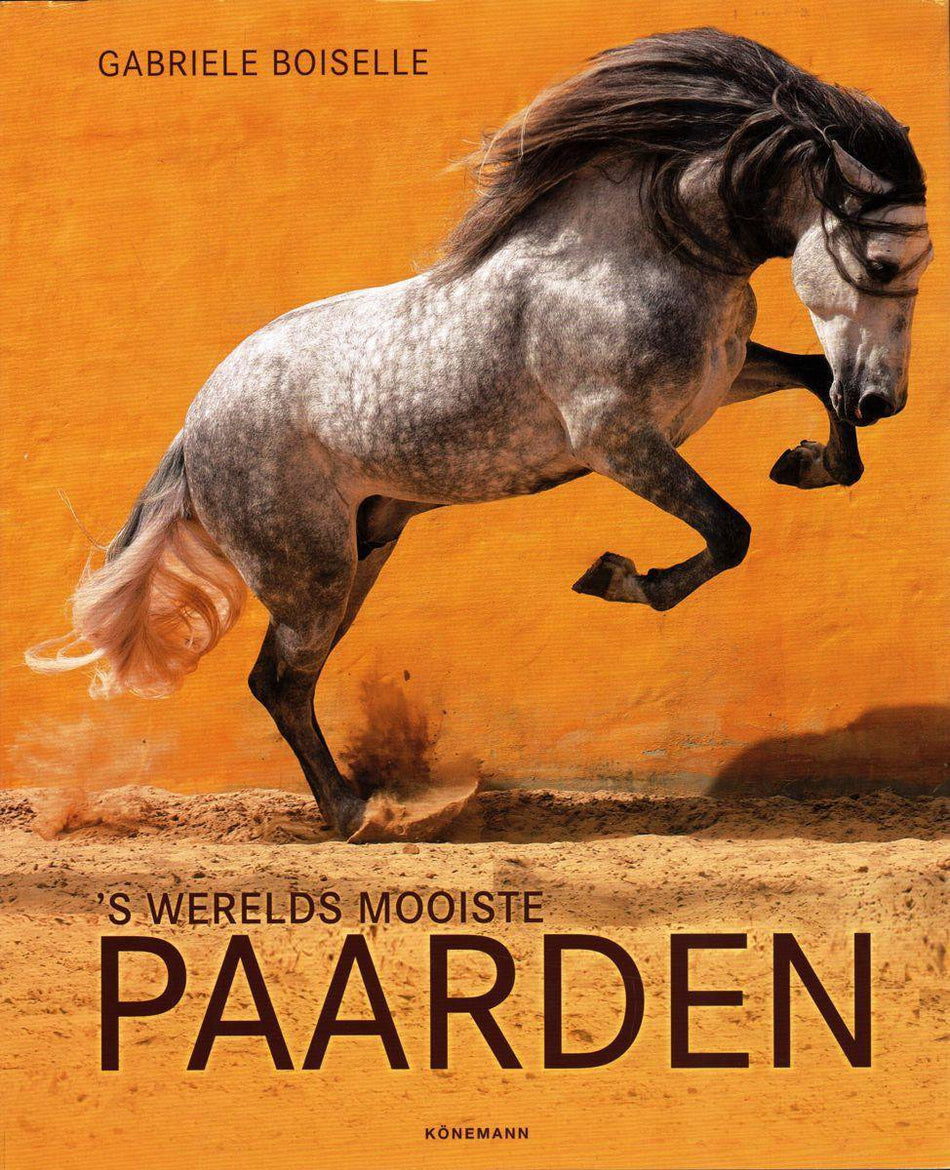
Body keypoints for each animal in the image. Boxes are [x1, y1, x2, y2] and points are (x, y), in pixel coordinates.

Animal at [26, 28, 933, 839]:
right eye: (882, 266)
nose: (885, 399)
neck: (641, 250)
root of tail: (195, 426)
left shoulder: (715, 385)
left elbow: (814, 384)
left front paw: (809, 463)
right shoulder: (618, 439)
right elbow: (730, 531)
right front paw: (616, 578)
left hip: (361, 553)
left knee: (286, 683)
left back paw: (360, 809)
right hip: (310, 573)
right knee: (278, 681)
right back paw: (359, 816)